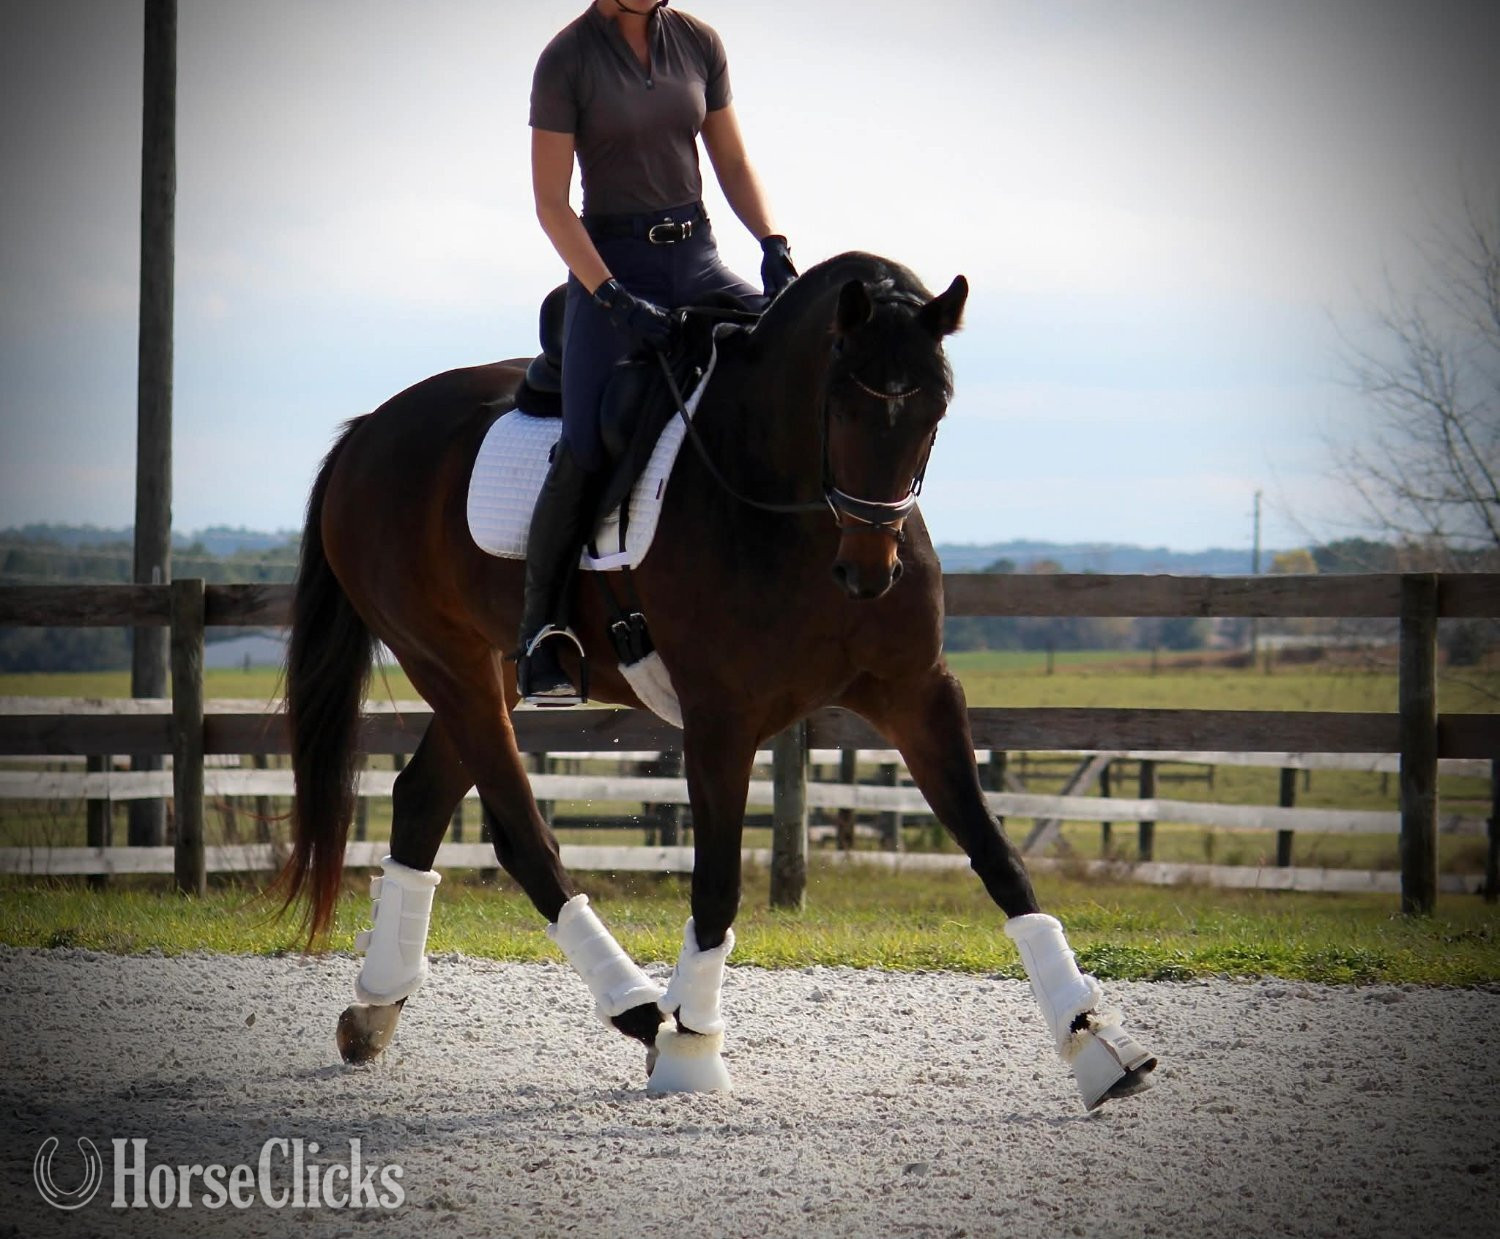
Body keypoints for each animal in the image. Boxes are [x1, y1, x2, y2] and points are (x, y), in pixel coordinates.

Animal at [275, 250, 1157, 1108]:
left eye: (934, 412)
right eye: (842, 406)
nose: (870, 572)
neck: (791, 509)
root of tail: (369, 430)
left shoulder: (919, 694)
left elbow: (996, 853)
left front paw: (1094, 1041)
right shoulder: (721, 720)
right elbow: (719, 884)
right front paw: (693, 1043)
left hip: (494, 667)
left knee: (422, 796)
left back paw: (377, 1005)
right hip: (447, 661)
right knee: (522, 833)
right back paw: (642, 1014)